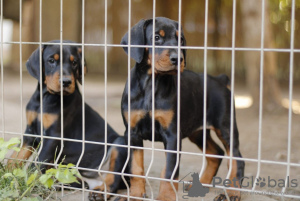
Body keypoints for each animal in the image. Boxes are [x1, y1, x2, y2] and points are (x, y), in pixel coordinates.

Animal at [8, 40, 128, 201]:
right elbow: (17, 157)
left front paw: (27, 184)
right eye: (51, 61)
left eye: (75, 63)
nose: (66, 82)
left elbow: (37, 163)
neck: (45, 98)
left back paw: (99, 192)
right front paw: (7, 173)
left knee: (113, 179)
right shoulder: (30, 132)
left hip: (120, 144)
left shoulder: (53, 135)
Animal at [118, 17, 245, 201]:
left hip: (225, 127)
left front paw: (165, 197)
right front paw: (135, 194)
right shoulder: (132, 133)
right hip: (197, 132)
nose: (177, 58)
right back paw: (201, 184)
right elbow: (136, 168)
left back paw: (232, 192)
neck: (151, 84)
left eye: (181, 40)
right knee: (216, 153)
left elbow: (169, 171)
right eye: (156, 37)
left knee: (236, 158)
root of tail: (219, 80)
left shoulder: (172, 135)